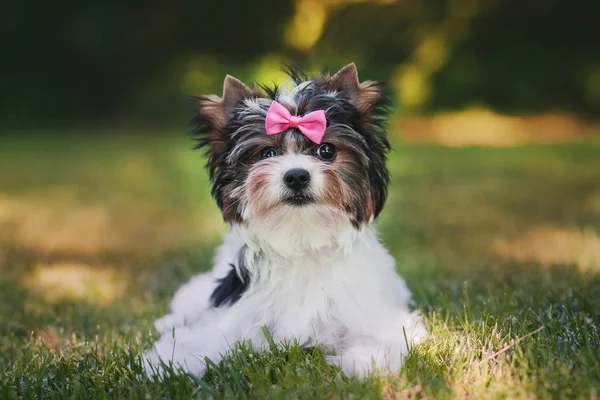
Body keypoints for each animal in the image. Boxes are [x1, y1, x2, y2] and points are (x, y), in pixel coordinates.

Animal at [144, 63, 428, 378]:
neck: (302, 240)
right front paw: (172, 359)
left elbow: (381, 336)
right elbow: (209, 336)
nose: (296, 176)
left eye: (326, 151)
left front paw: (366, 362)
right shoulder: (239, 312)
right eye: (267, 153)